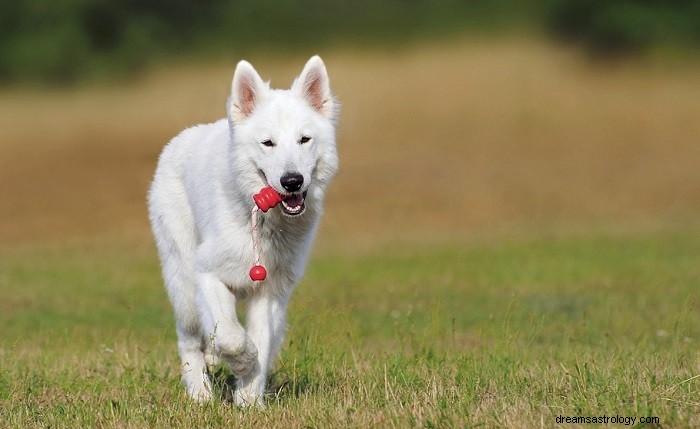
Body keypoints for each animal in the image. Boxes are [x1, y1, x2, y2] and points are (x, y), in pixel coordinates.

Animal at [149, 56, 340, 404]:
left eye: (304, 140)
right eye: (268, 143)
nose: (292, 181)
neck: (263, 222)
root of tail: (180, 139)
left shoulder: (270, 292)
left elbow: (260, 340)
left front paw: (249, 400)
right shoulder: (207, 274)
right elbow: (230, 336)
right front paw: (242, 362)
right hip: (183, 283)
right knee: (189, 338)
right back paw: (200, 393)